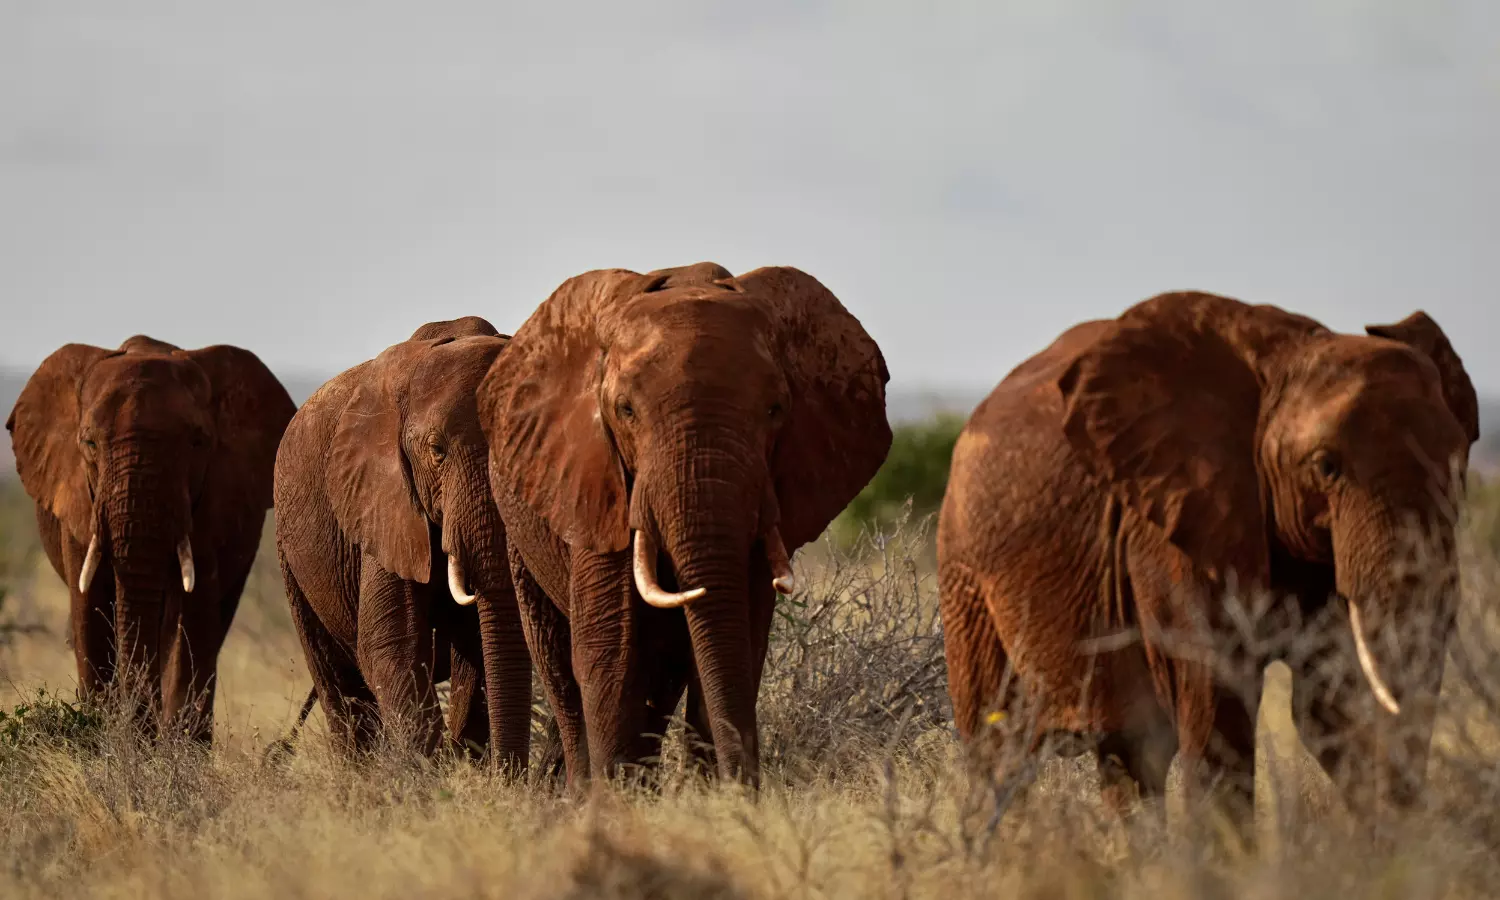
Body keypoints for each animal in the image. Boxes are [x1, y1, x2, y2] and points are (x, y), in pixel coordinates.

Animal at [5, 335, 296, 741]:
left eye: (198, 442)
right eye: (90, 444)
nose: (140, 727)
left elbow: (193, 622)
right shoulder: (78, 504)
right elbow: (89, 613)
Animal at [273, 317, 532, 767]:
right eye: (437, 451)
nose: (510, 777)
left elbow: (480, 648)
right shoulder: (382, 498)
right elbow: (391, 645)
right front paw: (428, 771)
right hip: (290, 555)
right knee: (333, 675)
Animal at [476, 262, 891, 788]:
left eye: (775, 410)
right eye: (626, 410)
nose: (743, 787)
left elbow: (740, 639)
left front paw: (710, 796)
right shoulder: (593, 482)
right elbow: (609, 648)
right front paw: (614, 799)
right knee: (560, 665)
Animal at [937, 291, 1479, 829]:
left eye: (1459, 466)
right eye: (1327, 467)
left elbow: (1331, 705)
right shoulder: (1171, 526)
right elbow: (1221, 710)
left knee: (1128, 755)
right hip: (964, 574)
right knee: (1000, 751)